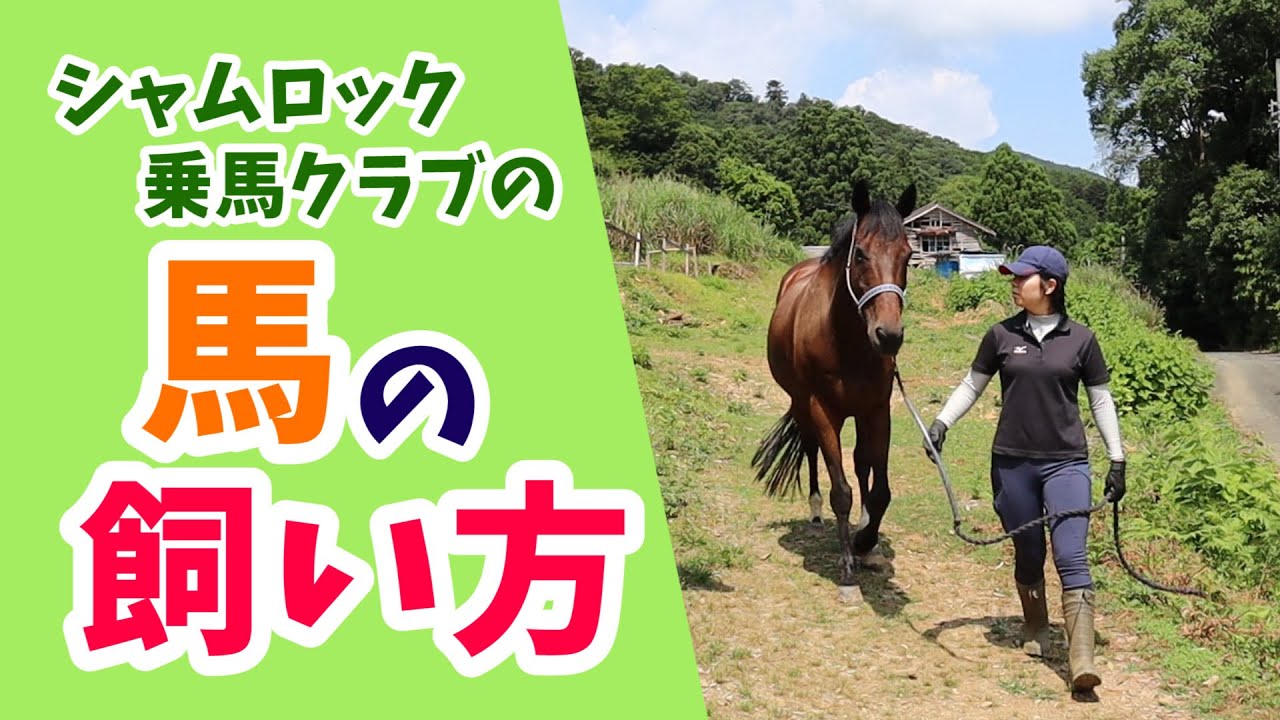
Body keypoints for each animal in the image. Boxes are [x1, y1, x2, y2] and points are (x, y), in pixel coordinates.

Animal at [751, 179, 916, 586]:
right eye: (860, 254)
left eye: (907, 256)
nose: (889, 335)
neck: (846, 341)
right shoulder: (823, 410)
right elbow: (841, 490)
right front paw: (847, 561)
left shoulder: (876, 410)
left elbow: (879, 489)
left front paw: (866, 541)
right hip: (801, 403)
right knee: (811, 450)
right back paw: (814, 511)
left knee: (861, 464)